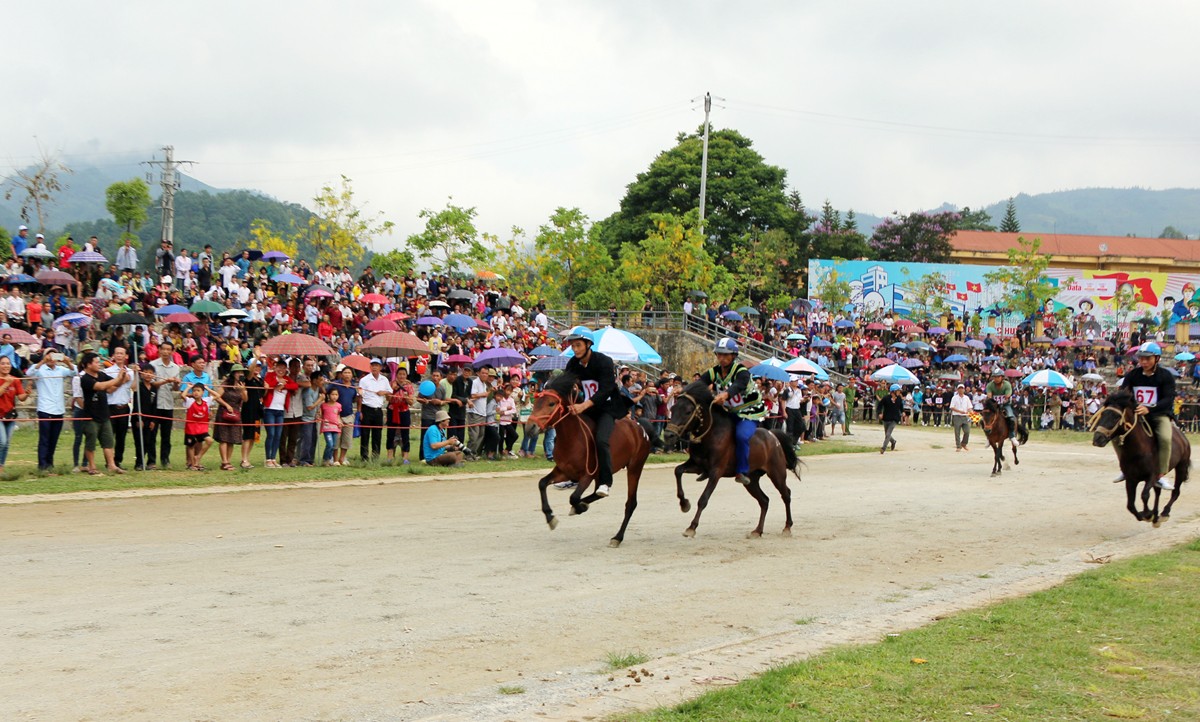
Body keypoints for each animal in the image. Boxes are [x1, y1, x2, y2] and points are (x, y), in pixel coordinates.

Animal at [530, 371, 652, 544]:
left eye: (551, 403)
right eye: (535, 402)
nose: (530, 427)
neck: (573, 437)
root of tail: (640, 428)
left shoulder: (587, 474)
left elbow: (574, 497)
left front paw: (579, 507)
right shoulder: (564, 471)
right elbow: (542, 484)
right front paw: (550, 517)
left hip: (635, 467)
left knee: (630, 503)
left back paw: (617, 537)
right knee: (598, 492)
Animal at [662, 378, 801, 537]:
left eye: (688, 411)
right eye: (672, 409)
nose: (668, 435)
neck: (712, 433)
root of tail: (772, 436)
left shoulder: (716, 472)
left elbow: (703, 499)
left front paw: (692, 527)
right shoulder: (697, 465)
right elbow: (678, 471)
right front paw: (684, 503)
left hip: (777, 473)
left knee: (786, 495)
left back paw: (787, 527)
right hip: (752, 480)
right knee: (764, 501)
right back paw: (757, 530)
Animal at [1089, 388, 1190, 522]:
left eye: (1117, 417)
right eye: (1103, 414)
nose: (1097, 439)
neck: (1138, 451)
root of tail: (1183, 437)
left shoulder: (1152, 476)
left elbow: (1144, 495)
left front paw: (1147, 514)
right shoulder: (1131, 479)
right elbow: (1130, 505)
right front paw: (1145, 514)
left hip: (1181, 467)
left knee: (1176, 492)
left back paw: (1164, 513)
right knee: (1158, 492)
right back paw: (1155, 516)